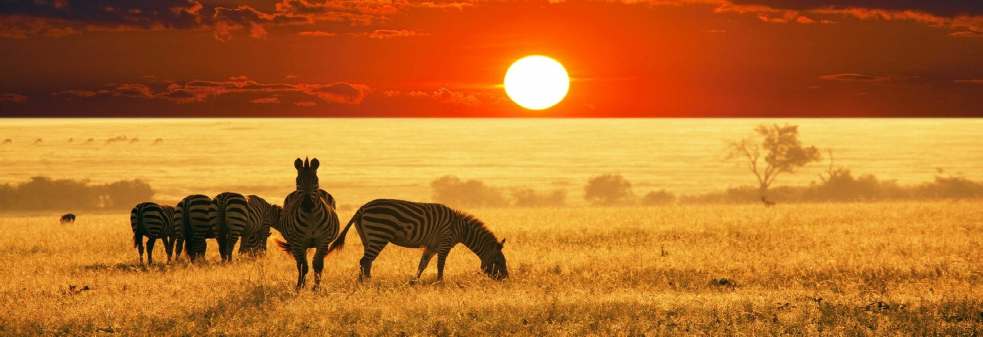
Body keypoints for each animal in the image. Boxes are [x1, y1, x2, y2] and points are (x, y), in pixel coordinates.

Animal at [274, 158, 340, 288]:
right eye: (298, 180)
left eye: (315, 180)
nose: (307, 204)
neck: (311, 218)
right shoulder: (298, 242)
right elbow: (303, 266)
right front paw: (300, 287)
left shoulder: (323, 241)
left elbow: (318, 265)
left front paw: (316, 288)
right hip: (296, 244)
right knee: (299, 263)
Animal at [330, 198, 512, 280]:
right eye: (499, 261)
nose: (506, 280)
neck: (460, 229)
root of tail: (362, 208)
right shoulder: (445, 243)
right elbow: (440, 265)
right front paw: (440, 283)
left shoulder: (432, 246)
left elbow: (422, 264)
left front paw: (413, 282)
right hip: (379, 234)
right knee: (364, 260)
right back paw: (364, 284)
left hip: (367, 238)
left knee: (367, 262)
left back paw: (368, 283)